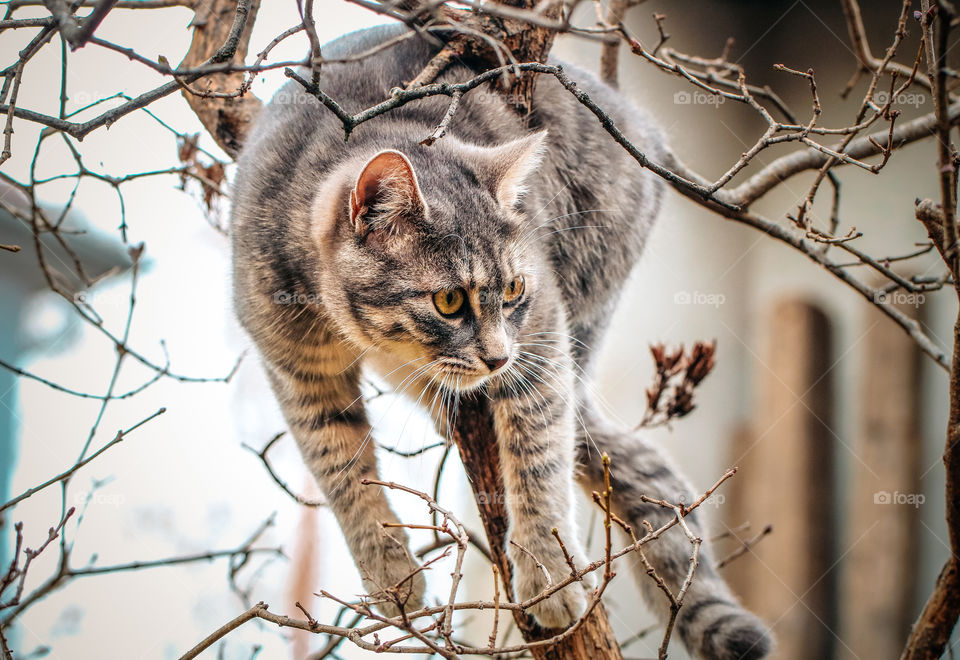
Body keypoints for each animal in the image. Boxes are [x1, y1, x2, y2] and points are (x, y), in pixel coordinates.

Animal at [231, 21, 772, 660]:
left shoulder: (540, 335)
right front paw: (391, 572)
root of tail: (644, 127)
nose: (496, 357)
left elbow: (538, 455)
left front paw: (546, 571)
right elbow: (341, 468)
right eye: (449, 301)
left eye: (514, 288)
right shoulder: (296, 367)